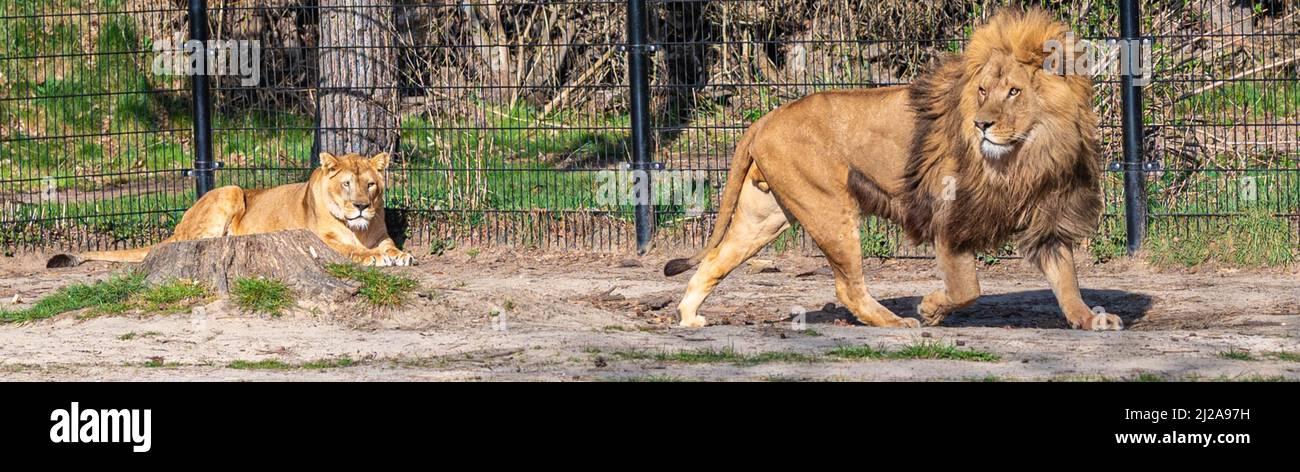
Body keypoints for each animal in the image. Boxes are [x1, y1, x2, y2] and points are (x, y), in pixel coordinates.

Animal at [48, 152, 414, 268]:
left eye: (371, 185)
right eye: (347, 185)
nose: (362, 207)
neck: (358, 228)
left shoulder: (381, 234)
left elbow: (390, 245)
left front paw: (401, 255)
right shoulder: (320, 237)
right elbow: (352, 250)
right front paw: (374, 258)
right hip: (231, 190)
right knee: (192, 241)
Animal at [662, 8, 1123, 331]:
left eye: (1013, 92)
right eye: (982, 90)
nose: (982, 124)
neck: (1027, 152)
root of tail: (765, 118)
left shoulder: (1045, 216)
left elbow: (1067, 279)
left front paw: (1090, 318)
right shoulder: (949, 213)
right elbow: (967, 288)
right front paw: (931, 308)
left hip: (765, 215)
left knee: (715, 259)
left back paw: (689, 317)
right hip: (828, 209)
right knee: (847, 286)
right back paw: (895, 321)